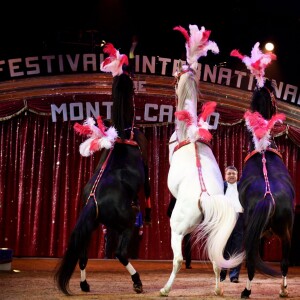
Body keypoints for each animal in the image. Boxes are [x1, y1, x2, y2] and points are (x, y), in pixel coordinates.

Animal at [54, 44, 150, 296]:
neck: (123, 134)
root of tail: (92, 200)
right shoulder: (146, 171)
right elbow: (148, 189)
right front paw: (148, 214)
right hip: (125, 224)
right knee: (120, 253)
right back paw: (137, 282)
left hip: (91, 227)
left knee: (83, 255)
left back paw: (85, 284)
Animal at [159, 24, 244, 298]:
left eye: (176, 75)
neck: (191, 132)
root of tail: (204, 197)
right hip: (214, 232)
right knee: (217, 261)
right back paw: (217, 289)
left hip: (177, 229)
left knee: (177, 259)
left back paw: (165, 289)